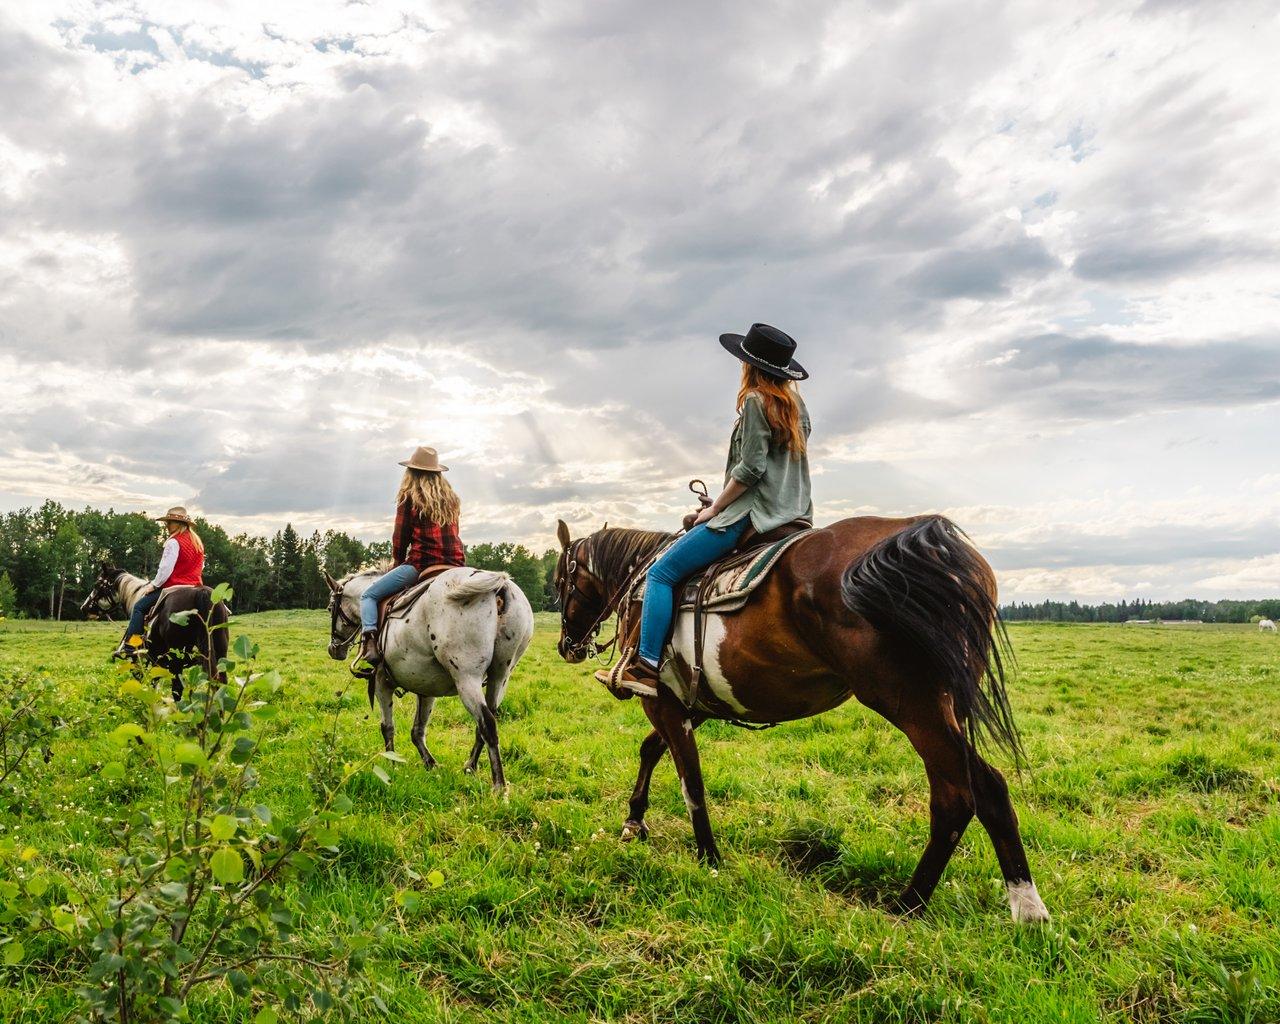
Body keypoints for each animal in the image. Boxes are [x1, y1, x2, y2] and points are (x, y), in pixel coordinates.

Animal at [552, 517, 1049, 921]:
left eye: (561, 582)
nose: (566, 646)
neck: (642, 580)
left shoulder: (663, 704)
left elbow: (690, 781)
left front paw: (708, 858)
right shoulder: (691, 705)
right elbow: (652, 750)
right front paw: (635, 820)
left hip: (913, 706)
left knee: (972, 791)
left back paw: (981, 906)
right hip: (945, 706)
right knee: (966, 793)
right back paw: (948, 903)